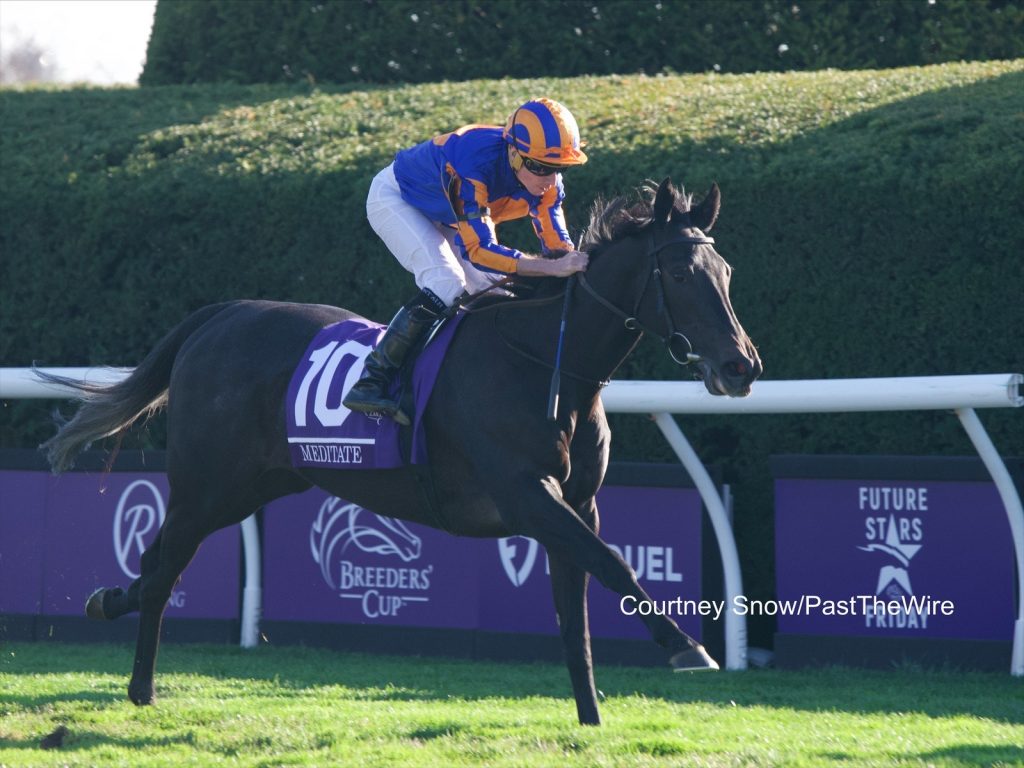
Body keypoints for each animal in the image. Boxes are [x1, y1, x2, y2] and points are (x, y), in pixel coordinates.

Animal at [39, 177, 761, 724]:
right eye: (678, 271)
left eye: (726, 271)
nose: (741, 366)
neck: (545, 366)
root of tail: (220, 314)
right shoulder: (526, 497)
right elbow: (615, 566)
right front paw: (687, 647)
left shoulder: (578, 503)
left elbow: (576, 610)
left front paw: (590, 719)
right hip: (207, 484)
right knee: (164, 570)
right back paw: (140, 686)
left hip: (257, 484)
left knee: (155, 562)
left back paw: (110, 605)